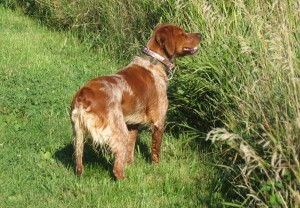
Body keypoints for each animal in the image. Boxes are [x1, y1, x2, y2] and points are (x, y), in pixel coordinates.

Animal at [70, 23, 202, 180]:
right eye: (182, 33)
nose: (200, 34)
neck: (154, 63)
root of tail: (84, 94)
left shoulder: (133, 125)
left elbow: (130, 152)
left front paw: (131, 164)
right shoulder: (159, 122)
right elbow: (155, 152)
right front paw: (156, 169)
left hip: (78, 135)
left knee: (79, 164)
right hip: (119, 130)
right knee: (117, 169)